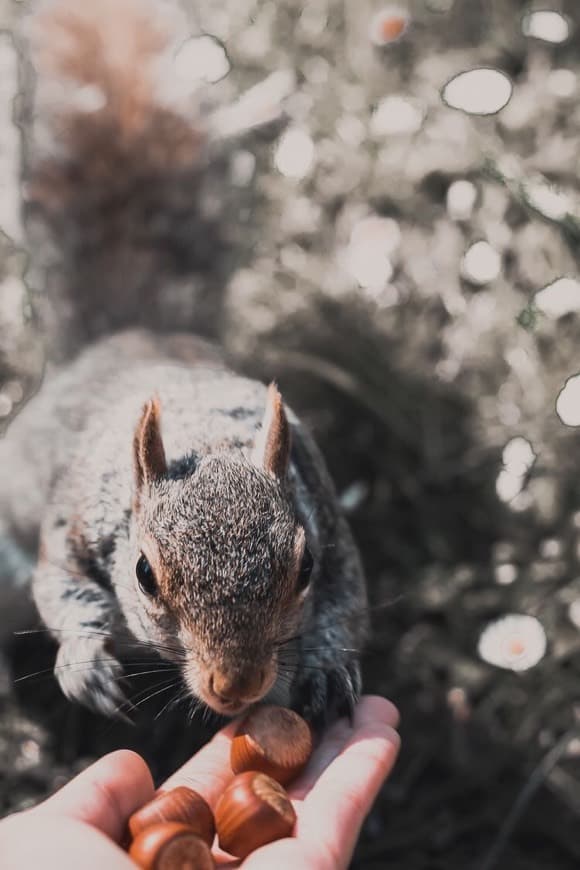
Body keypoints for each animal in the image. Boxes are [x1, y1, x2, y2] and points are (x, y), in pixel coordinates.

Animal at [0, 0, 370, 728]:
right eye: (145, 573)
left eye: (304, 568)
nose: (236, 686)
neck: (205, 437)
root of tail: (131, 336)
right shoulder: (71, 524)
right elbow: (63, 591)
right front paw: (86, 663)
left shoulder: (328, 521)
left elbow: (349, 600)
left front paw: (328, 665)